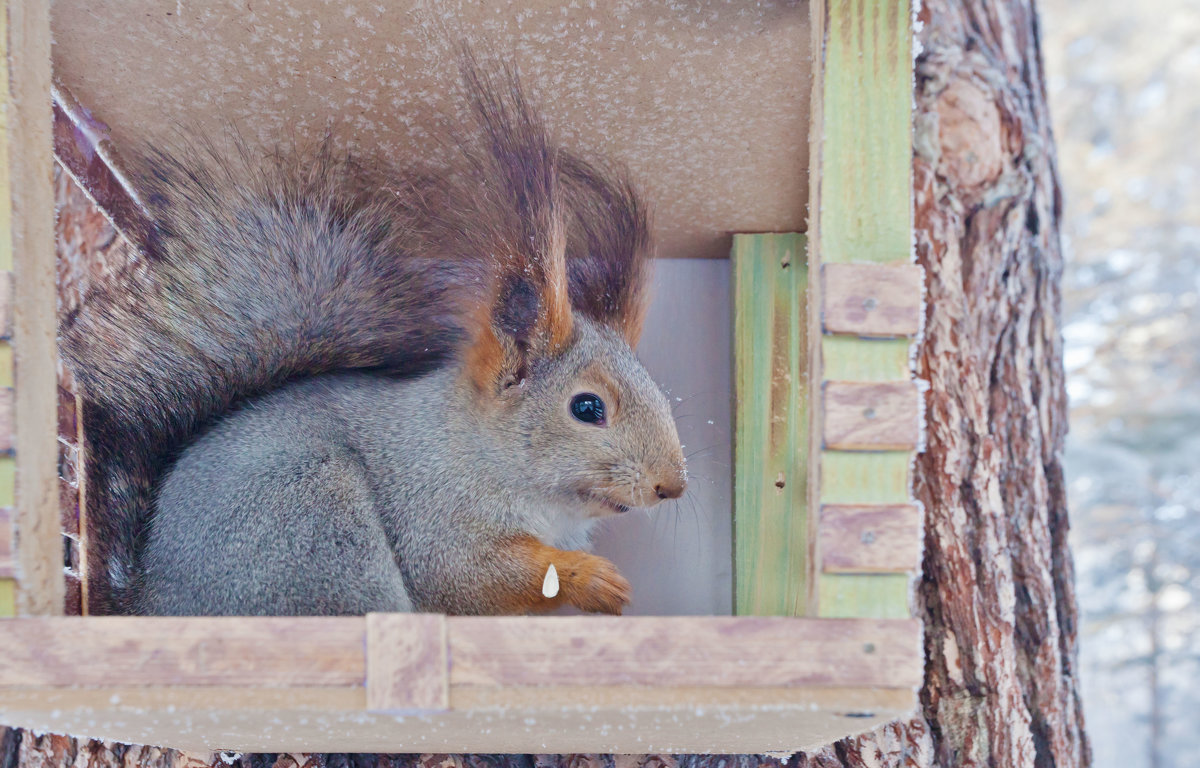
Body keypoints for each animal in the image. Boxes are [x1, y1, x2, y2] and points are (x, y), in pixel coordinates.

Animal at [63, 54, 686, 619]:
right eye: (587, 407)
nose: (672, 487)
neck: (476, 449)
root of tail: (152, 604)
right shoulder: (434, 515)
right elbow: (468, 575)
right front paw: (593, 578)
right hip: (317, 525)